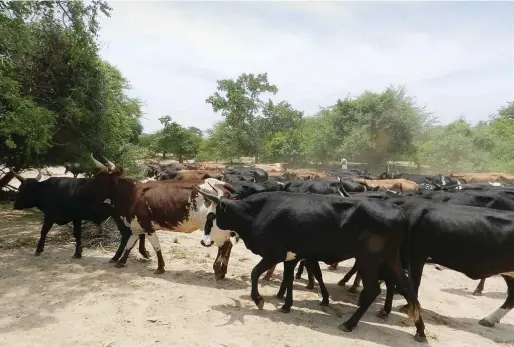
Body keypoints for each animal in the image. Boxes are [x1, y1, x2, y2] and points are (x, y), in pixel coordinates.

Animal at [10, 169, 148, 264]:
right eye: (20, 187)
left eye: (23, 189)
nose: (15, 205)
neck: (48, 191)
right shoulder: (76, 218)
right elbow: (77, 234)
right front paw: (78, 253)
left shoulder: (50, 216)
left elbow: (44, 231)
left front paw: (39, 249)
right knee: (139, 232)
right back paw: (143, 252)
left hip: (118, 216)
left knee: (126, 233)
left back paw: (116, 257)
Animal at [194, 188, 426, 342]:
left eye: (212, 217)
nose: (203, 241)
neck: (258, 212)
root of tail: (399, 211)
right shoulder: (291, 255)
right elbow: (288, 279)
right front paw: (286, 305)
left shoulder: (274, 253)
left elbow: (254, 273)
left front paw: (259, 299)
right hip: (390, 259)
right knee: (408, 288)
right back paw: (420, 331)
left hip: (369, 260)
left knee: (373, 290)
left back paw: (349, 324)